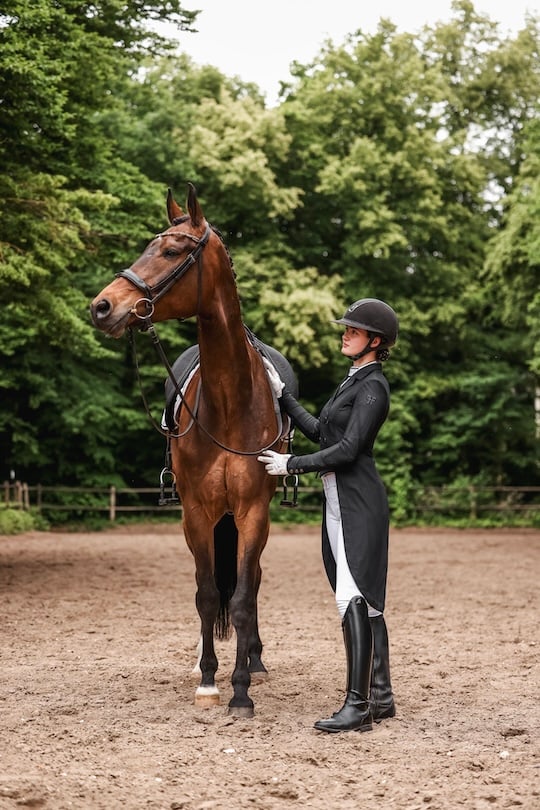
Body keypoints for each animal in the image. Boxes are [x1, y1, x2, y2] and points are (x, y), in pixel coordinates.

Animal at [90, 184, 297, 718]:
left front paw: (241, 689)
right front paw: (207, 679)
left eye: (171, 251)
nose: (102, 306)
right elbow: (206, 594)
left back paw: (255, 661)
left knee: (254, 581)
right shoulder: (196, 513)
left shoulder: (252, 512)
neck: (227, 400)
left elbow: (241, 597)